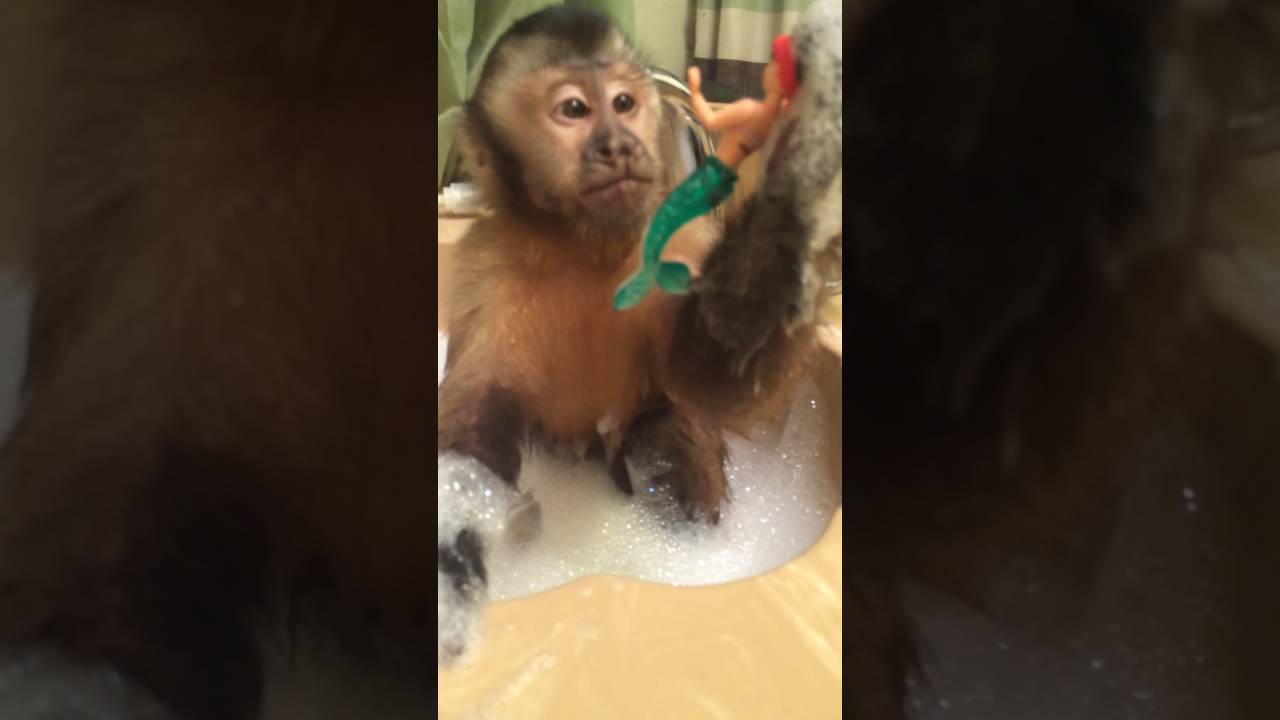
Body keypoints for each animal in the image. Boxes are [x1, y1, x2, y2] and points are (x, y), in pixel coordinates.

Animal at [435, 6, 828, 665]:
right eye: (573, 110)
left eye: (622, 103)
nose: (618, 144)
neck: (586, 251)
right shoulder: (484, 271)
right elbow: (470, 434)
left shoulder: (683, 245)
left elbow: (712, 386)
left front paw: (785, 214)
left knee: (663, 436)